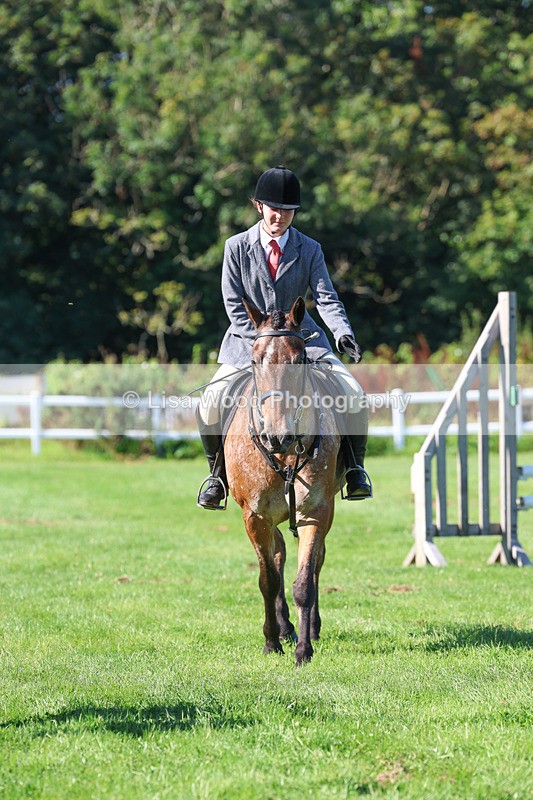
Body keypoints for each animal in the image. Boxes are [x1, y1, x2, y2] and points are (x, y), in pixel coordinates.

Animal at [223, 296, 345, 665]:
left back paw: (308, 629)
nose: (276, 436)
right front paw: (271, 642)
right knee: (277, 558)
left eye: (299, 359)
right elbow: (268, 580)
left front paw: (304, 650)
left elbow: (304, 581)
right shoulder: (255, 517)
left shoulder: (315, 512)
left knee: (315, 562)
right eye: (253, 360)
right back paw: (284, 628)